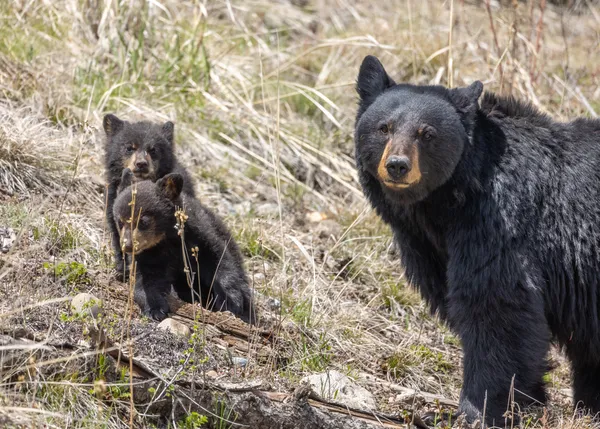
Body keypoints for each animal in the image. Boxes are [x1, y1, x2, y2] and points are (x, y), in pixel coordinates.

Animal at [103, 113, 195, 280]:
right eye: (129, 147)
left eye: (153, 150)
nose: (141, 164)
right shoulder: (113, 200)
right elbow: (117, 232)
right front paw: (122, 270)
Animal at [112, 169, 253, 322]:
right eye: (120, 222)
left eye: (143, 220)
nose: (128, 246)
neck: (166, 241)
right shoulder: (148, 255)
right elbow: (145, 280)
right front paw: (155, 309)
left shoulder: (198, 236)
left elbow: (219, 260)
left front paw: (232, 300)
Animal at [354, 55, 600, 426]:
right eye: (384, 127)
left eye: (427, 133)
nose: (397, 166)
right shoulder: (430, 249)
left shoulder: (499, 224)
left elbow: (497, 307)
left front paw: (476, 409)